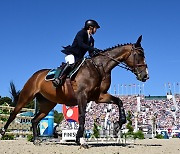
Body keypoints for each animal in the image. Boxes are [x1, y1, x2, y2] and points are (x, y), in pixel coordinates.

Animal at [0, 35, 149, 147]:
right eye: (139, 54)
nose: (145, 76)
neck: (99, 67)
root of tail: (35, 75)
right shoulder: (82, 96)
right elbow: (82, 116)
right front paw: (80, 140)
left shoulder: (99, 96)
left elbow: (119, 101)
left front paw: (118, 125)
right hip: (26, 96)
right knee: (14, 113)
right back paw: (3, 133)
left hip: (48, 104)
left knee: (35, 120)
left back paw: (36, 140)